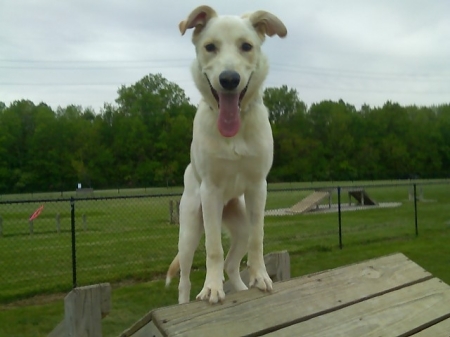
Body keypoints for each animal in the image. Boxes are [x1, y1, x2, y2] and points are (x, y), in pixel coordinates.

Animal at [166, 5, 288, 304]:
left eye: (246, 46)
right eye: (210, 47)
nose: (229, 79)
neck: (236, 131)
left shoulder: (257, 188)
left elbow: (258, 239)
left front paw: (261, 277)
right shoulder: (210, 191)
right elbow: (213, 248)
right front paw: (211, 288)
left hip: (239, 224)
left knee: (233, 263)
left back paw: (243, 288)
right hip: (189, 230)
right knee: (184, 278)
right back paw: (185, 302)